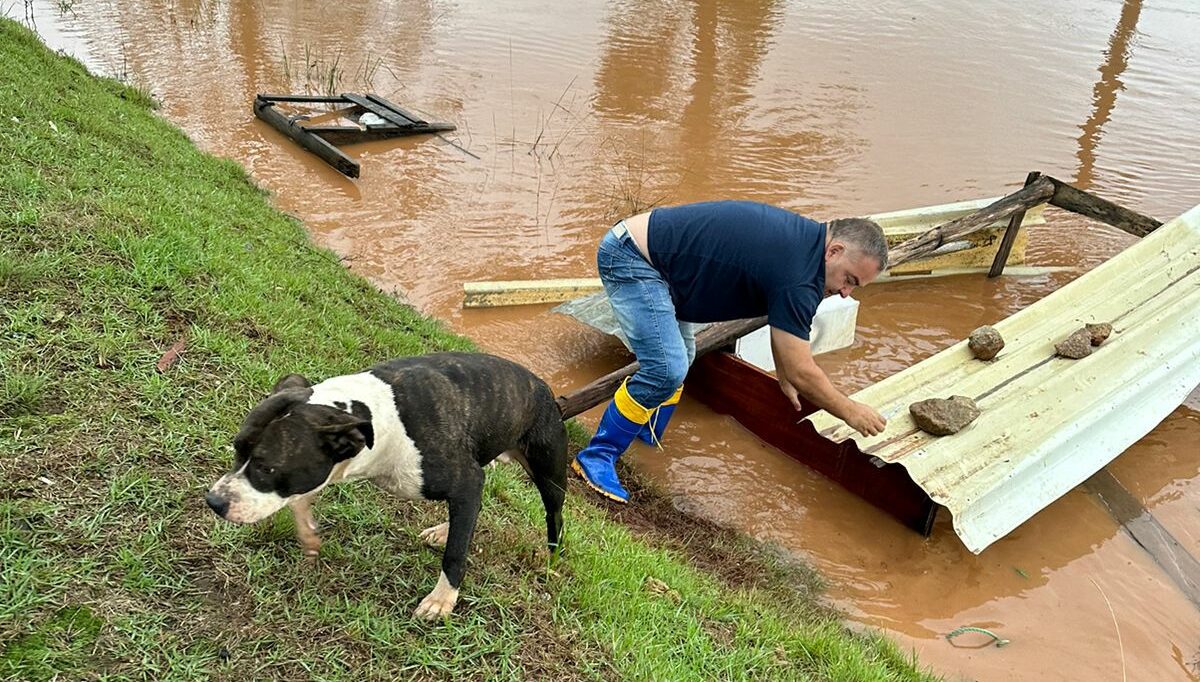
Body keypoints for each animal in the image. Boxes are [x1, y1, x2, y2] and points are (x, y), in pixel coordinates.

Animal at [205, 355, 566, 619]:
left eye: (267, 468)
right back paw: (445, 529)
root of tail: (545, 389)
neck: (380, 419)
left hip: (549, 475)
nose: (214, 501)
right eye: (237, 448)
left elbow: (455, 554)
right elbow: (299, 497)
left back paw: (551, 561)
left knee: (554, 518)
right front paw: (307, 531)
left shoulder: (464, 479)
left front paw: (442, 600)